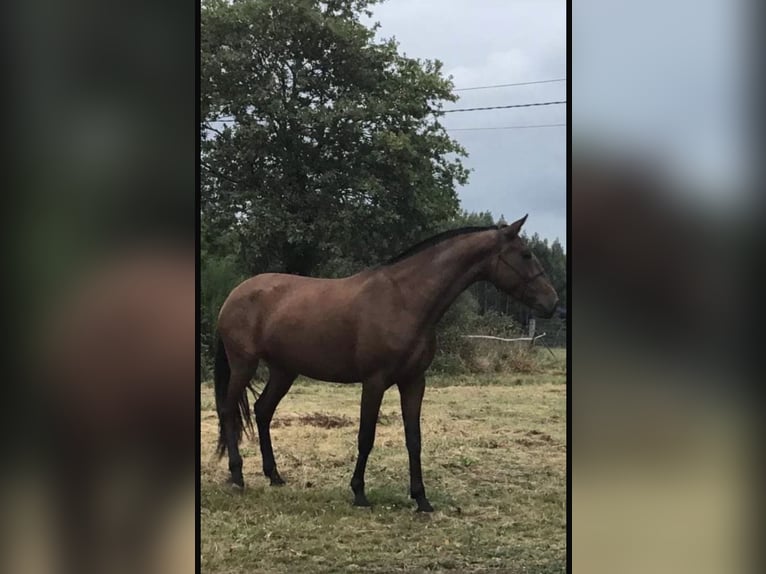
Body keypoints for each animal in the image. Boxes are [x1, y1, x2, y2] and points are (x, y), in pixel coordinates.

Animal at [214, 216, 560, 512]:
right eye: (526, 254)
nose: (553, 303)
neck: (405, 299)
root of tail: (234, 295)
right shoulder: (374, 381)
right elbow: (366, 436)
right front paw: (359, 493)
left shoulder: (414, 382)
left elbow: (414, 439)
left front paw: (421, 499)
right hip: (244, 365)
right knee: (229, 410)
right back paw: (237, 475)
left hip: (284, 370)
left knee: (262, 411)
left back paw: (274, 475)